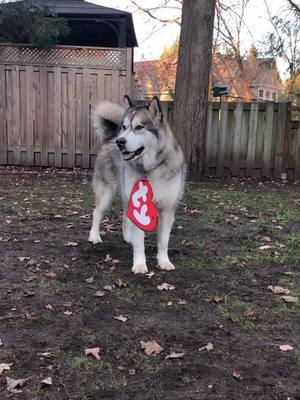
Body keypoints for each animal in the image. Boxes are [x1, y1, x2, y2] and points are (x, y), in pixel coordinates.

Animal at [87, 95, 185, 274]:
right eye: (125, 127)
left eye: (139, 127)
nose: (120, 142)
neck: (152, 168)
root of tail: (111, 137)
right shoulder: (140, 208)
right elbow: (140, 243)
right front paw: (139, 264)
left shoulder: (168, 210)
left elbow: (163, 242)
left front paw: (164, 261)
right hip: (106, 193)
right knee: (97, 213)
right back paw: (94, 236)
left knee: (126, 214)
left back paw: (128, 237)